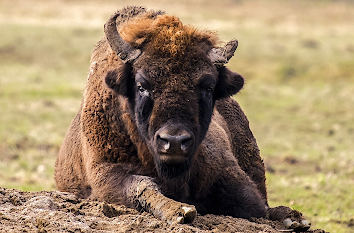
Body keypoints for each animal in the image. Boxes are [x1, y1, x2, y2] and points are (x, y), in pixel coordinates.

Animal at [54, 6, 310, 230]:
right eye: (141, 85)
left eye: (208, 87)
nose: (174, 141)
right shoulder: (105, 173)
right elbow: (142, 185)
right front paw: (180, 211)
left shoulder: (229, 173)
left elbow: (254, 205)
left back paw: (295, 218)